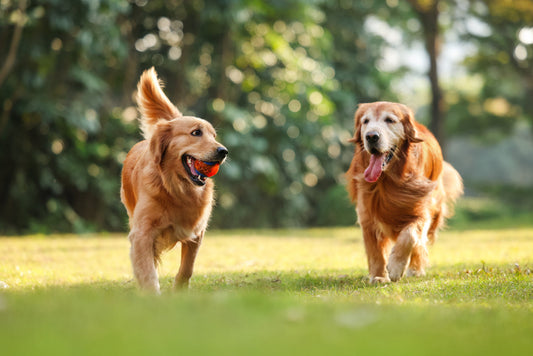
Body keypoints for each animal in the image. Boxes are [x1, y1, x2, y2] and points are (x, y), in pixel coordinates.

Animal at [120, 68, 227, 294]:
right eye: (196, 132)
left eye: (214, 136)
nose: (223, 151)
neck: (176, 188)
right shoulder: (141, 233)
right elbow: (148, 271)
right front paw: (151, 294)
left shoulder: (196, 232)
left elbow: (187, 268)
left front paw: (179, 292)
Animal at [344, 101, 462, 286]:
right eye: (365, 121)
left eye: (389, 120)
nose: (371, 136)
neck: (388, 182)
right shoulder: (367, 214)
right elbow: (375, 250)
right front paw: (378, 276)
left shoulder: (421, 210)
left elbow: (410, 236)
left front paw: (396, 267)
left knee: (419, 244)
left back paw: (415, 270)